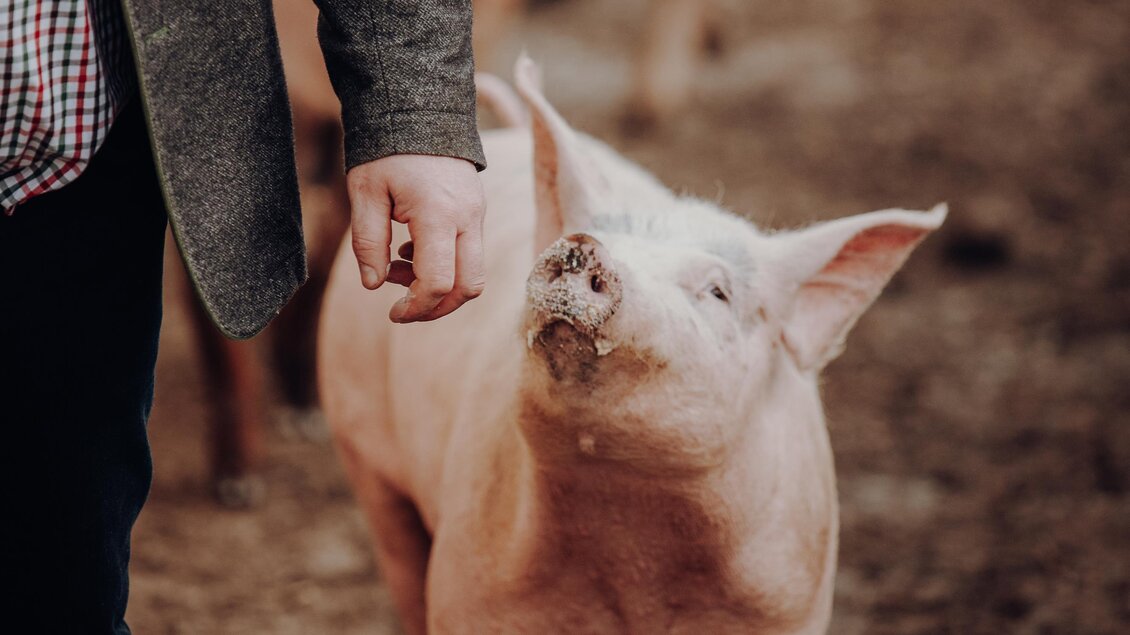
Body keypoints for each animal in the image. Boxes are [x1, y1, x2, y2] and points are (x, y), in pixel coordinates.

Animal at [317, 56, 945, 634]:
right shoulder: (472, 584)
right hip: (360, 441)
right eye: (592, 236)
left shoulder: (791, 603)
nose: (583, 247)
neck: (631, 534)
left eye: (718, 291)